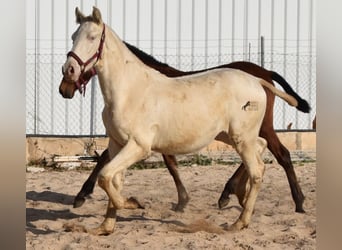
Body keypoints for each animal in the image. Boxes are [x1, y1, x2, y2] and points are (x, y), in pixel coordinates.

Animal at [60, 7, 306, 234]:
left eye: (92, 37)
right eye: (73, 36)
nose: (68, 72)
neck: (129, 91)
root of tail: (258, 80)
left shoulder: (139, 146)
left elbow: (105, 176)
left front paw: (133, 203)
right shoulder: (116, 144)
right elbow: (112, 179)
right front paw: (105, 227)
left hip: (242, 137)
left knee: (259, 169)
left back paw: (240, 220)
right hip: (231, 136)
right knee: (261, 152)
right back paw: (238, 196)